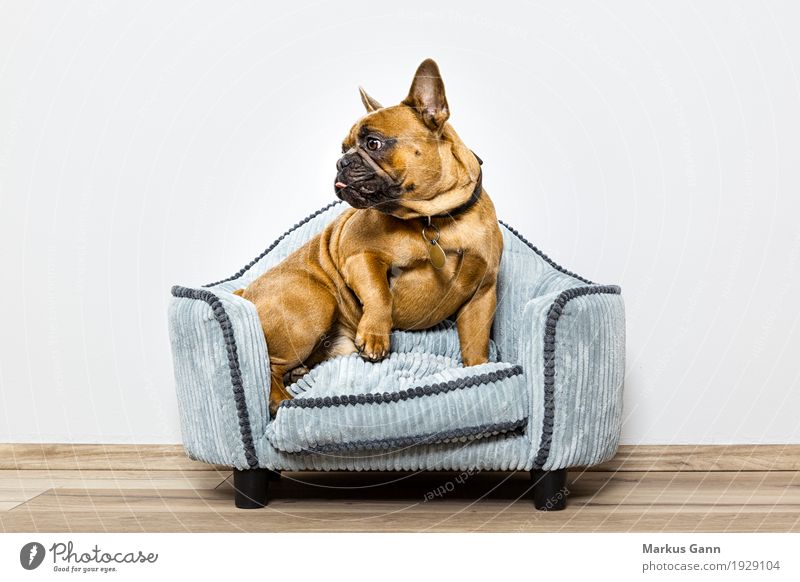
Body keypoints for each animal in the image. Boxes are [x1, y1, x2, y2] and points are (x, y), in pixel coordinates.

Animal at [234, 59, 504, 418]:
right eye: (344, 148)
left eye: (373, 143)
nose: (341, 162)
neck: (437, 220)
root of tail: (244, 294)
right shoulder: (360, 258)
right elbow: (379, 294)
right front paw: (376, 335)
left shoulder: (482, 292)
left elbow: (475, 344)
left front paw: (479, 373)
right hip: (314, 302)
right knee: (269, 365)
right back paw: (280, 399)